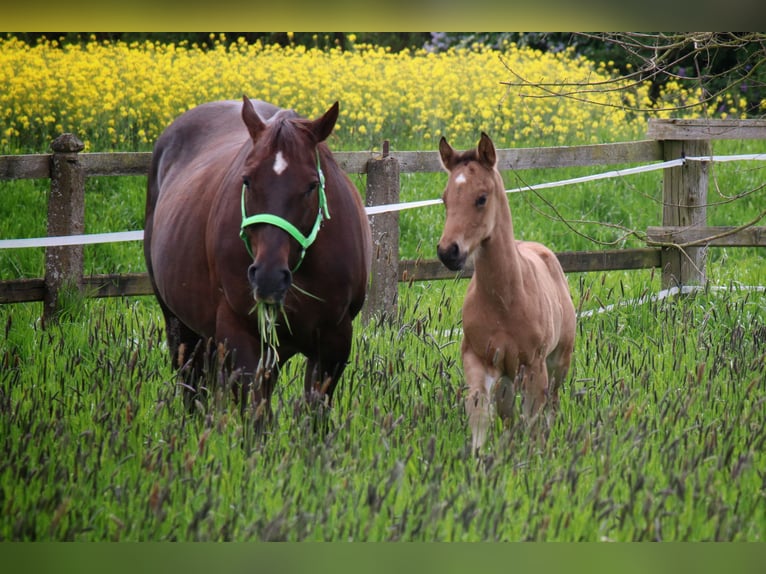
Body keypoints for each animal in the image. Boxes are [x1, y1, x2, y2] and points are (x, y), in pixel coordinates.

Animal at [146, 97, 374, 416]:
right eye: (247, 180)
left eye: (312, 185)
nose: (268, 278)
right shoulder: (242, 337)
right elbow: (256, 417)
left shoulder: (334, 342)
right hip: (179, 324)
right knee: (192, 386)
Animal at [438, 133, 576, 452]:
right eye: (445, 198)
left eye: (481, 198)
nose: (448, 252)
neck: (505, 300)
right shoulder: (478, 360)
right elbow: (479, 412)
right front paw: (480, 459)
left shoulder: (535, 365)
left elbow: (534, 419)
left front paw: (533, 456)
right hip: (507, 376)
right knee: (508, 415)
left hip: (559, 361)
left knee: (551, 405)